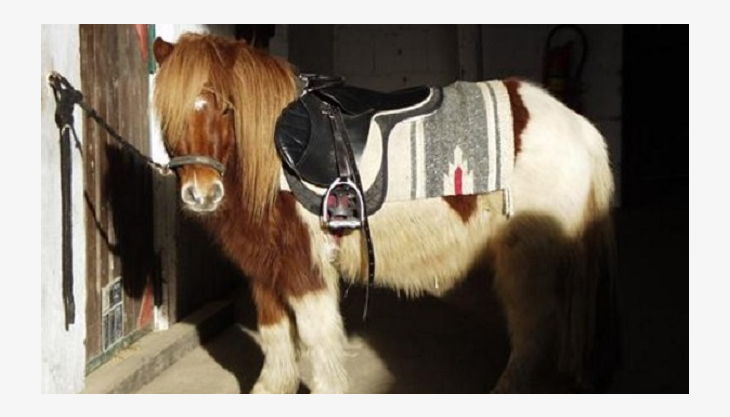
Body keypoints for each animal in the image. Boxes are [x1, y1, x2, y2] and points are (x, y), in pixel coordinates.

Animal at [151, 33, 617, 393]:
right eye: (166, 113)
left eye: (226, 106)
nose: (202, 195)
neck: (269, 157)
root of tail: (579, 127)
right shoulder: (265, 267)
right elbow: (275, 335)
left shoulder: (305, 267)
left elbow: (318, 341)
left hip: (526, 259)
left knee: (533, 330)